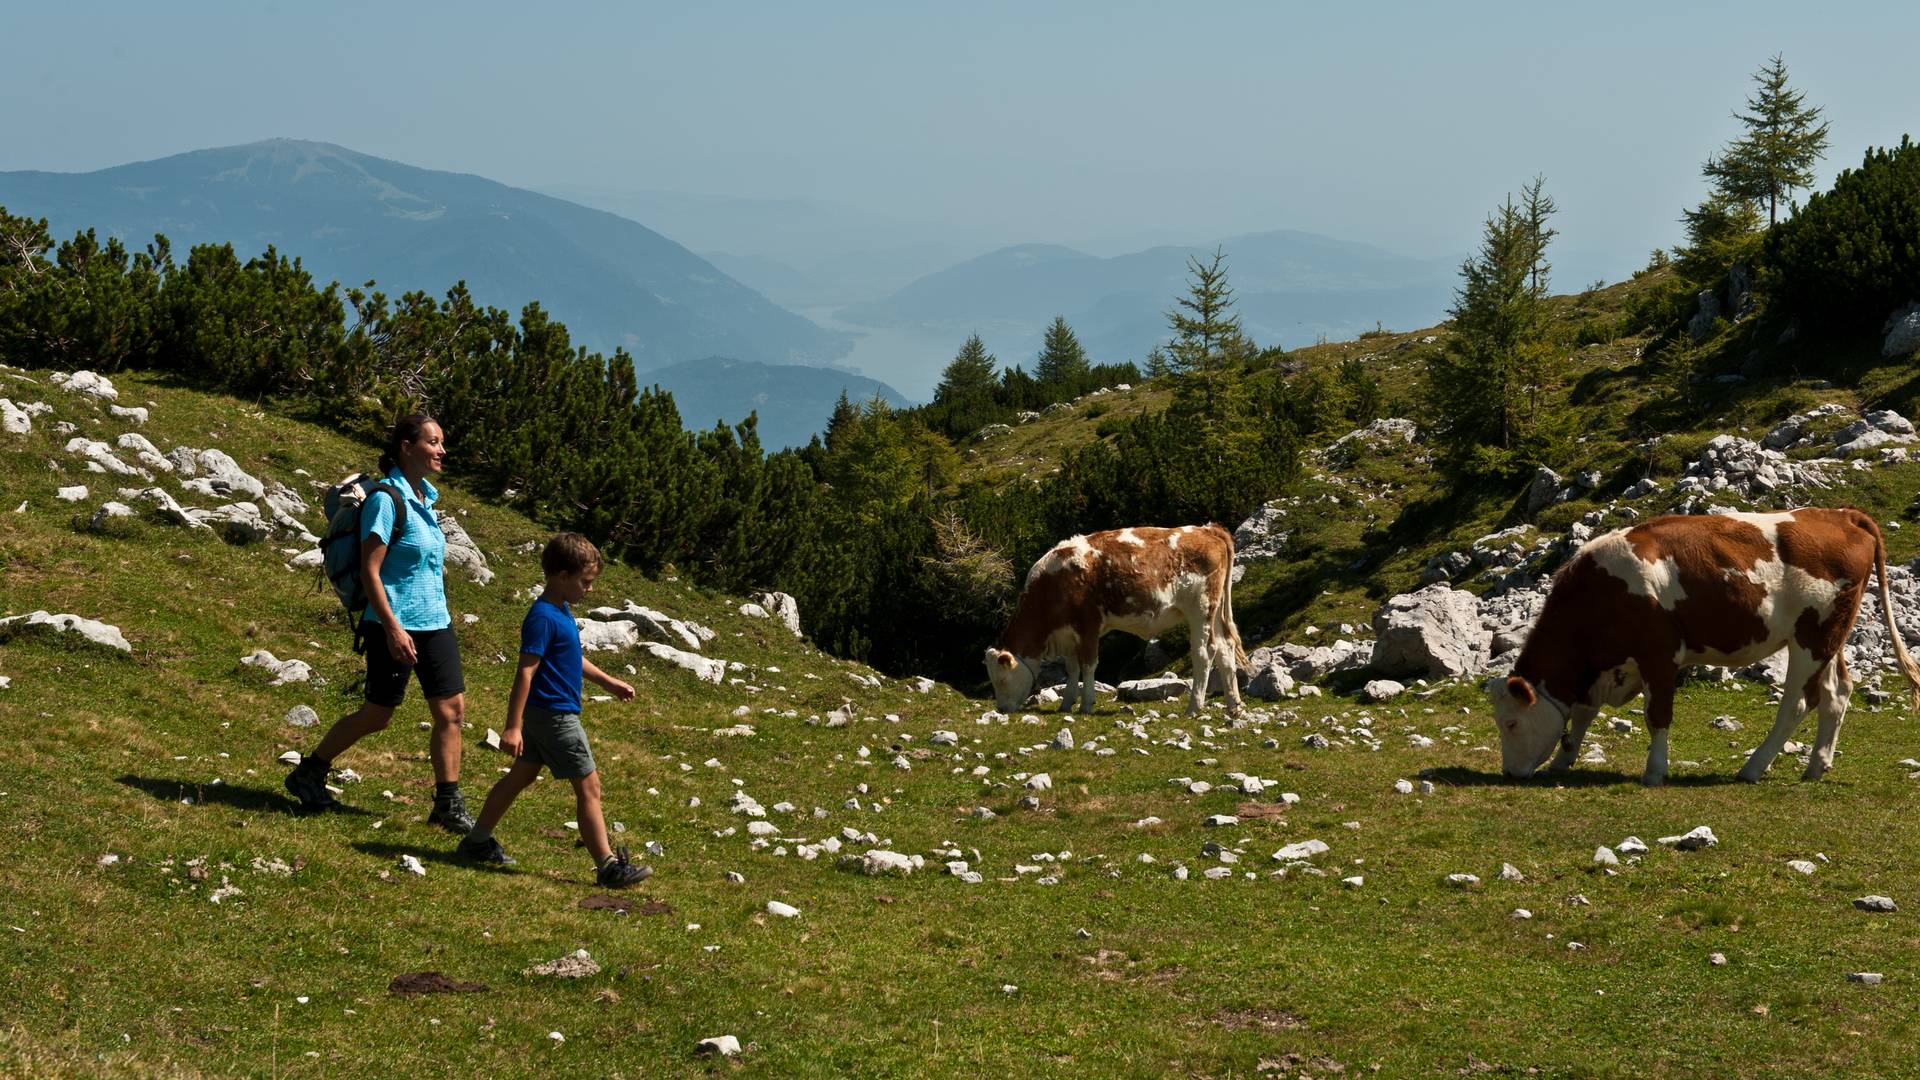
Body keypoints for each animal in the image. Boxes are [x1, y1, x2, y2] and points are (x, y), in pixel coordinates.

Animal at [990, 522, 1244, 714]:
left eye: (1001, 680)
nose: (1001, 709)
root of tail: (1207, 529)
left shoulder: (1088, 625)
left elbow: (1088, 665)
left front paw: (1086, 704)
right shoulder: (1069, 634)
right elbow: (1072, 668)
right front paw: (1066, 704)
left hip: (1200, 609)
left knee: (1205, 652)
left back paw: (1194, 708)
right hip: (1215, 612)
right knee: (1225, 648)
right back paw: (1234, 705)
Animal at [1497, 503, 1920, 780]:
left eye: (1512, 723)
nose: (1510, 773)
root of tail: (1842, 514)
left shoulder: (1659, 653)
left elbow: (1657, 715)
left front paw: (1655, 771)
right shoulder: (1606, 667)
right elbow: (1583, 713)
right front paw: (1562, 761)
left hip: (1811, 639)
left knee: (1798, 703)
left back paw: (1752, 768)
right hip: (1828, 637)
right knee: (1837, 693)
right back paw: (1816, 767)